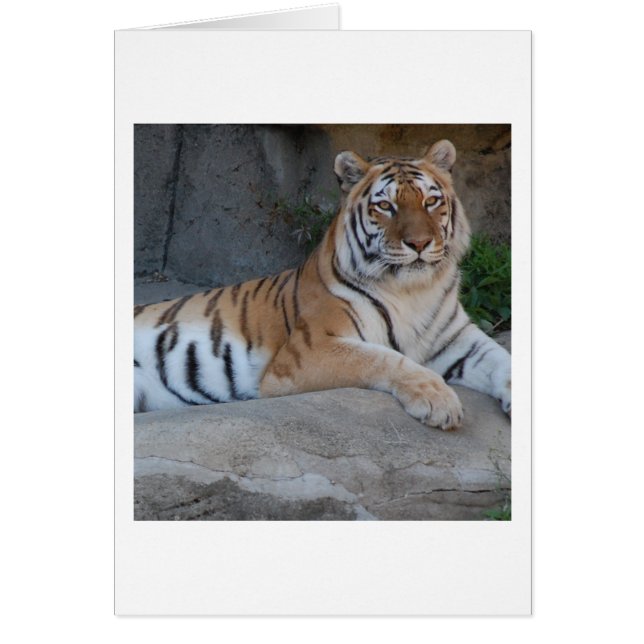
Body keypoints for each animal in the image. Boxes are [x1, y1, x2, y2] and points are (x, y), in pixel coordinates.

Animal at [134, 140, 511, 430]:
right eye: (385, 206)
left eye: (430, 201)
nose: (418, 243)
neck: (413, 291)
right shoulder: (310, 350)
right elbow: (385, 359)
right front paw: (439, 401)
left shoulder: (459, 340)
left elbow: (503, 359)